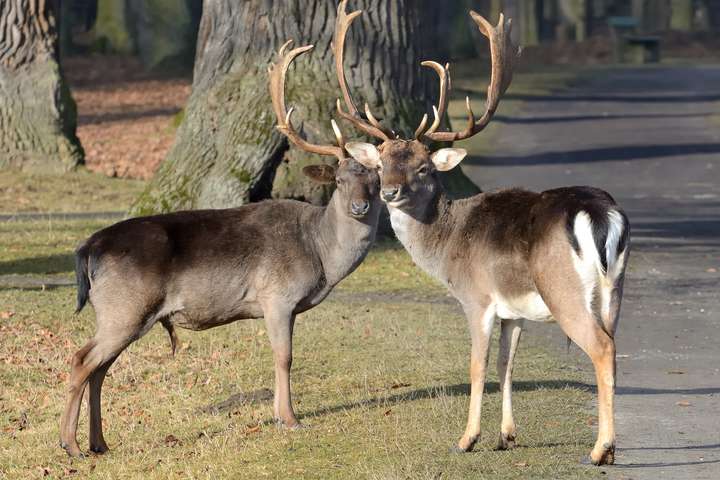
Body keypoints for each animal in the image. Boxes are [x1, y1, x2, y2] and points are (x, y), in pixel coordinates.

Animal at [60, 37, 382, 458]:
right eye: (340, 181)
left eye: (376, 178)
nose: (361, 207)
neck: (321, 257)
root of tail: (87, 249)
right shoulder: (277, 296)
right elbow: (284, 357)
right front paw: (290, 419)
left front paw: (281, 415)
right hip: (124, 308)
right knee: (82, 359)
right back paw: (70, 445)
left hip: (121, 313)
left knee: (100, 369)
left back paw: (99, 443)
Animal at [334, 0, 632, 464]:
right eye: (381, 163)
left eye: (424, 167)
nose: (389, 191)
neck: (447, 245)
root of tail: (598, 213)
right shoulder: (514, 312)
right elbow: (506, 364)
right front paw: (506, 436)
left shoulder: (476, 298)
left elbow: (477, 365)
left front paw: (467, 438)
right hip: (614, 290)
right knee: (615, 348)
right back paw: (609, 448)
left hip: (563, 290)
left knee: (601, 348)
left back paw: (600, 450)